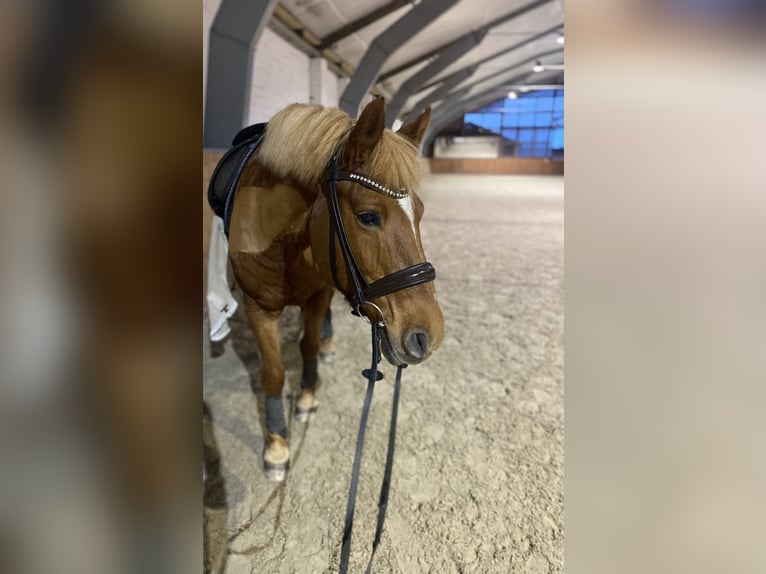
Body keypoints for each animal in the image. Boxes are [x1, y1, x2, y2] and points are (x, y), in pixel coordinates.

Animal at [225, 97, 444, 481]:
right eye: (368, 216)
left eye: (419, 212)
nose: (428, 335)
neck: (281, 240)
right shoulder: (256, 307)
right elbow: (273, 372)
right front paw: (276, 445)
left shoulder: (318, 295)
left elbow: (309, 346)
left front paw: (307, 397)